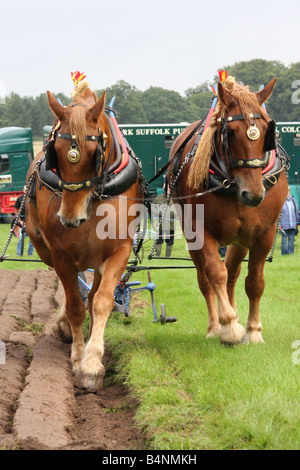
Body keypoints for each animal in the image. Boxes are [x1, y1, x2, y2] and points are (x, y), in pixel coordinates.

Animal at [24, 82, 141, 392]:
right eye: (56, 150)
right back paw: (65, 324)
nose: (70, 218)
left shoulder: (118, 251)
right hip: (46, 250)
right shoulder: (61, 255)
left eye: (94, 150)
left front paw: (92, 363)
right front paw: (78, 359)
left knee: (94, 292)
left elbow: (101, 302)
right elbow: (76, 305)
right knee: (72, 290)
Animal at [169, 76, 288, 346]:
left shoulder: (264, 232)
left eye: (266, 131)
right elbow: (215, 274)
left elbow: (254, 282)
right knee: (206, 279)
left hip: (240, 237)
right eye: (230, 133)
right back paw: (215, 326)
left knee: (233, 273)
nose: (253, 194)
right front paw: (229, 327)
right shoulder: (201, 230)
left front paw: (253, 331)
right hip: (191, 234)